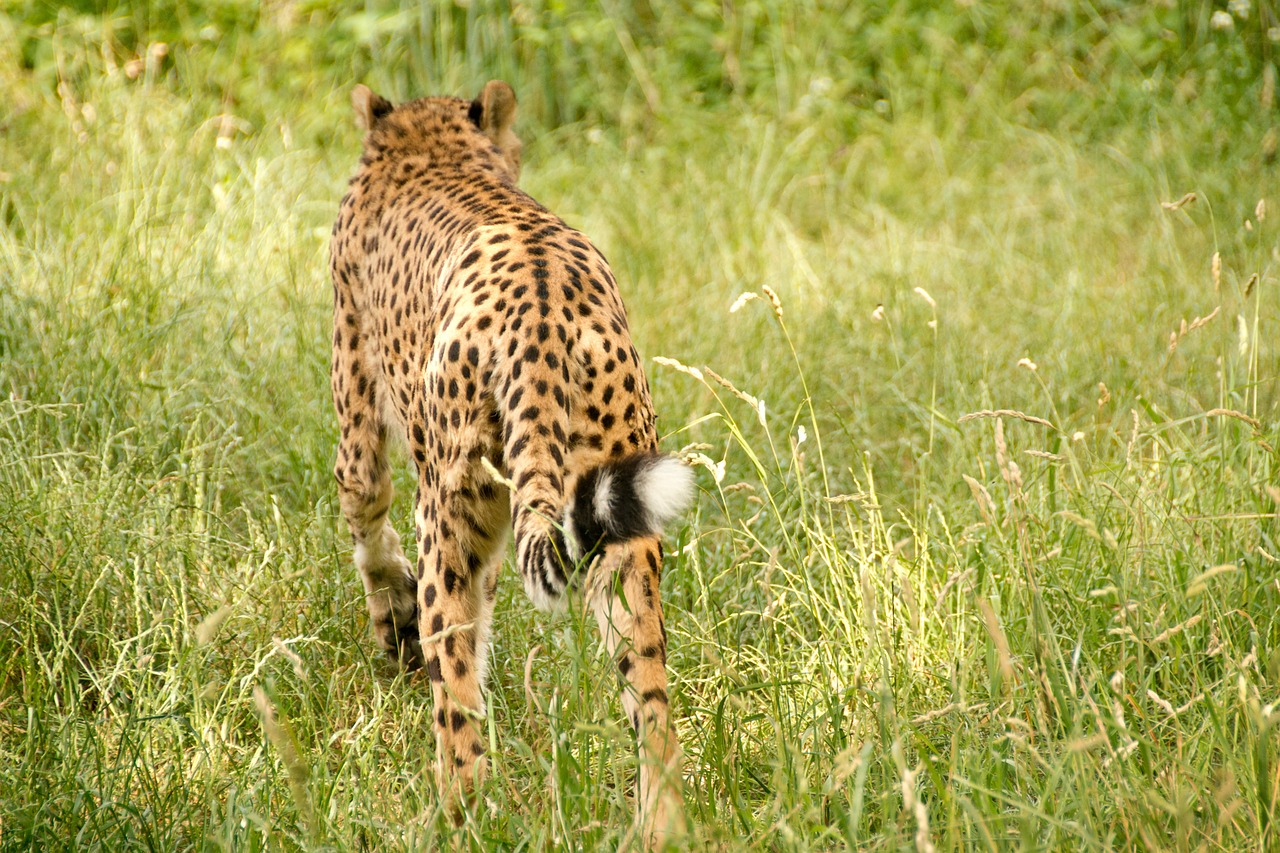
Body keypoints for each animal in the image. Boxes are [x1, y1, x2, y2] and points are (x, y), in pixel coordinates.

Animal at [330, 81, 691, 845]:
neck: (430, 143)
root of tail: (544, 312)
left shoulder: (357, 404)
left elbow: (366, 516)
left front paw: (393, 627)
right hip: (623, 525)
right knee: (650, 694)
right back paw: (662, 823)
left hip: (447, 510)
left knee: (455, 687)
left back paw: (456, 814)